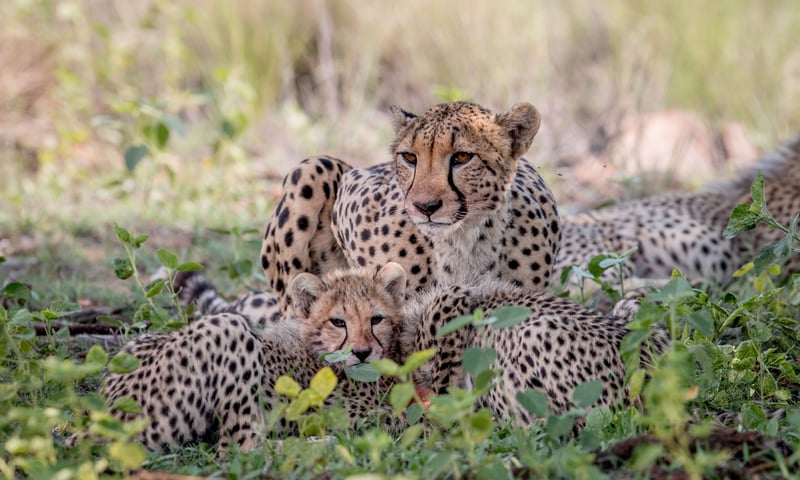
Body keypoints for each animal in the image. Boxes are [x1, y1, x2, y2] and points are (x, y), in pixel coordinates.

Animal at [103, 263, 407, 452]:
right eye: (338, 322)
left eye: (376, 319)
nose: (362, 352)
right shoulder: (343, 414)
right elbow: (397, 418)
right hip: (229, 327)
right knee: (238, 448)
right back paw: (321, 443)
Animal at [260, 101, 560, 313]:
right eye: (409, 158)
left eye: (463, 157)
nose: (425, 206)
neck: (462, 240)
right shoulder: (352, 188)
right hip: (311, 168)